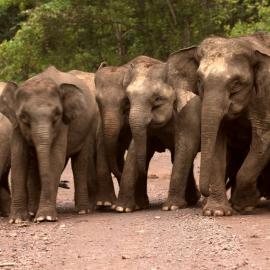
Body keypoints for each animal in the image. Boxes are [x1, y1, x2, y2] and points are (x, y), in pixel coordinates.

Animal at [0, 66, 115, 223]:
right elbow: (18, 158)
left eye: (56, 116)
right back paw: (32, 211)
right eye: (23, 117)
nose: (65, 184)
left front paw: (45, 217)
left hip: (88, 128)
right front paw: (17, 219)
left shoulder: (63, 124)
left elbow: (55, 158)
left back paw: (82, 211)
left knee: (80, 164)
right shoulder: (16, 125)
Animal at [112, 54, 200, 212]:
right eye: (128, 100)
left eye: (158, 99)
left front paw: (171, 207)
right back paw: (192, 200)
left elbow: (186, 148)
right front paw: (122, 208)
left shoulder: (190, 112)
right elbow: (134, 151)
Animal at [168, 31, 270, 215]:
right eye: (199, 80)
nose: (204, 194)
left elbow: (263, 137)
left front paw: (245, 204)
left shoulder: (265, 97)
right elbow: (217, 141)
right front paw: (216, 212)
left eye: (236, 84)